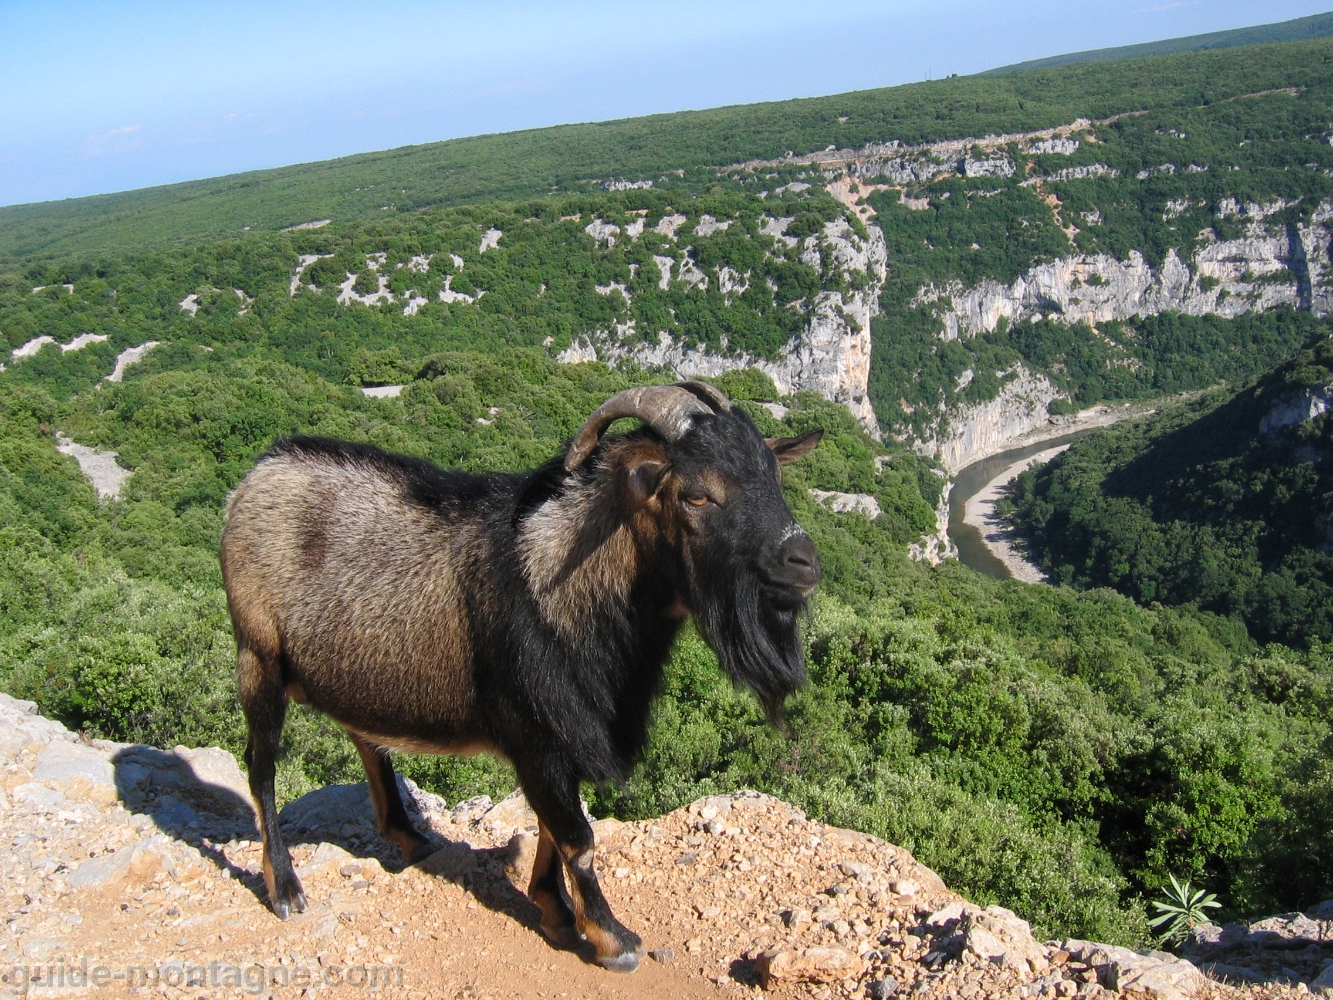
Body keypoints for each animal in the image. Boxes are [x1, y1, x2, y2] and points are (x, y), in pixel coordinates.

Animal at [219, 381, 821, 970]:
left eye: (773, 477)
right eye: (696, 494)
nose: (804, 561)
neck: (555, 581)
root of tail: (258, 472)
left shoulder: (567, 730)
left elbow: (555, 826)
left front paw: (554, 907)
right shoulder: (534, 731)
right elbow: (577, 835)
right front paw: (612, 938)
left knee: (364, 737)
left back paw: (409, 837)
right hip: (258, 655)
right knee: (260, 765)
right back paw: (285, 888)